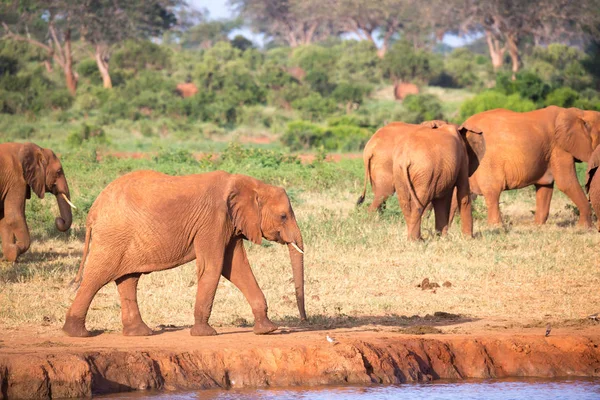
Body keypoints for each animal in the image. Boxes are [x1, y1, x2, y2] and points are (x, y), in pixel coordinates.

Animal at [63, 170, 308, 338]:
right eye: (284, 216)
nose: (303, 321)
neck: (248, 183)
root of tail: (93, 211)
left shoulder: (231, 224)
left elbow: (236, 268)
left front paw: (268, 330)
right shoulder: (213, 221)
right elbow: (214, 267)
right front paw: (205, 334)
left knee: (128, 280)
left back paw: (141, 333)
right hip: (112, 237)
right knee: (97, 277)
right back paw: (76, 333)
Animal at [460, 107, 600, 228]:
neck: (579, 113)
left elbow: (545, 186)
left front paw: (538, 227)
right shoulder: (559, 148)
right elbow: (566, 182)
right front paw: (584, 228)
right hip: (487, 161)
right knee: (492, 192)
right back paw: (497, 227)